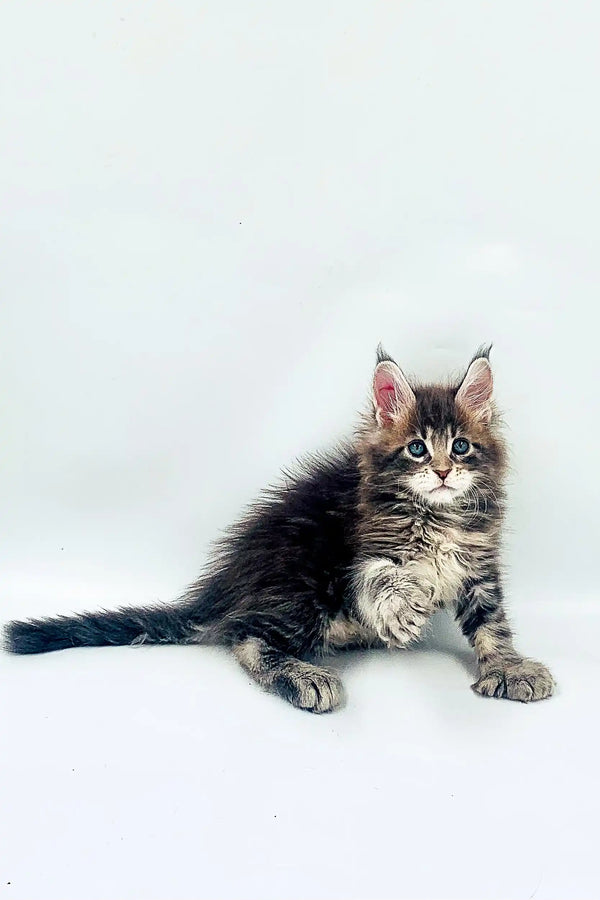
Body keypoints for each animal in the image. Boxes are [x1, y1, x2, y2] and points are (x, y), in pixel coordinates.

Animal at [4, 348, 556, 712]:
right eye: (417, 449)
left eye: (461, 446)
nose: (442, 472)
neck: (437, 513)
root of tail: (224, 590)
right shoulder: (361, 550)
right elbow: (380, 578)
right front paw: (402, 610)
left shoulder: (479, 568)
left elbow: (492, 624)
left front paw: (509, 668)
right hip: (302, 583)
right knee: (247, 637)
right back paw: (305, 675)